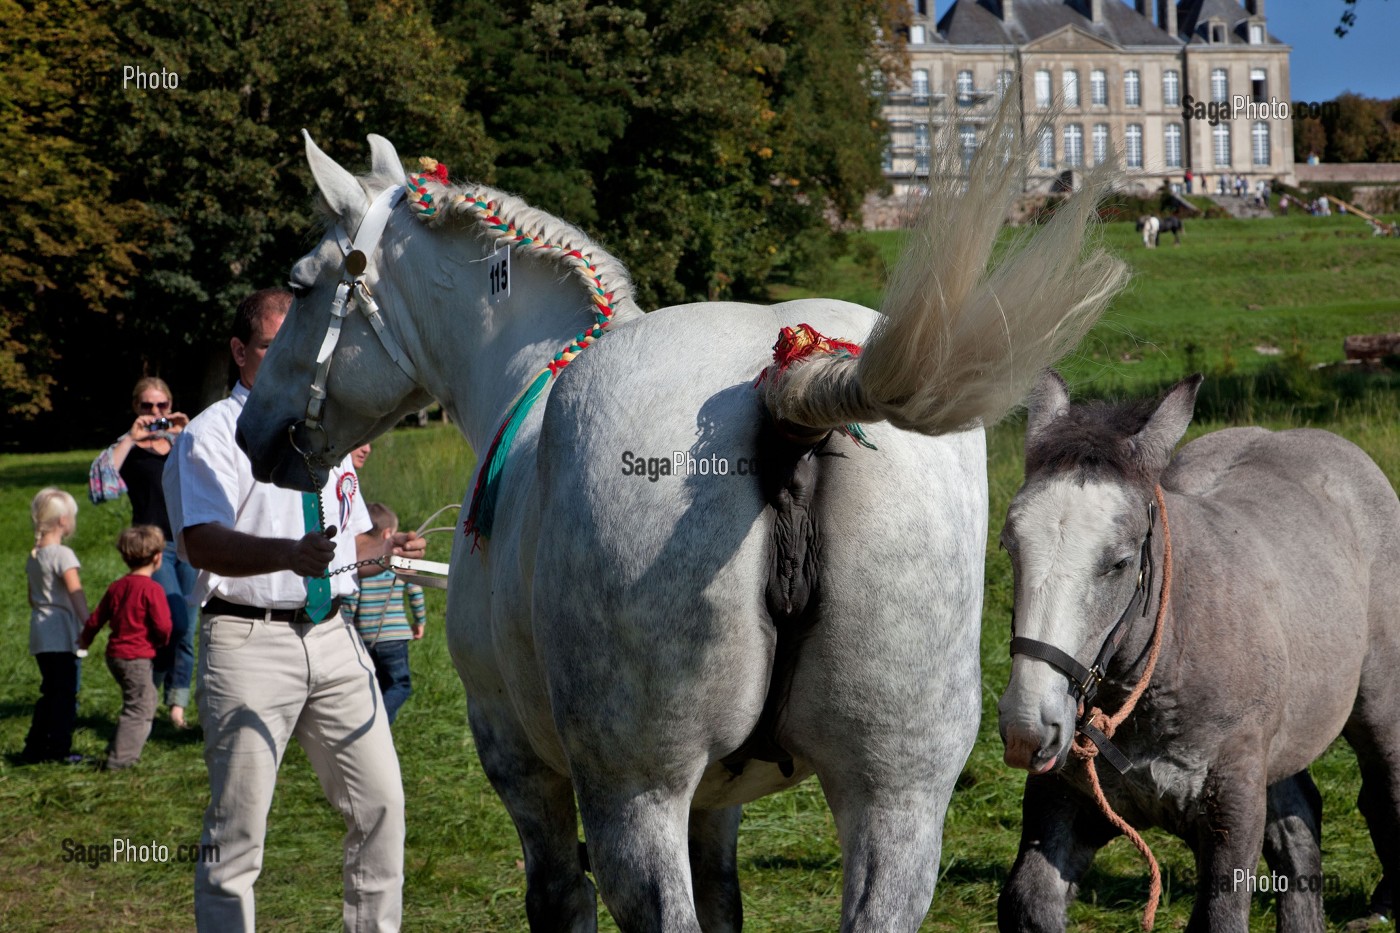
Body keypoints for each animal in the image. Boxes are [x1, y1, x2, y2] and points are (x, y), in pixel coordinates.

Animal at [237, 95, 1128, 930]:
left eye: (302, 283)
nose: (254, 430)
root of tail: (789, 384)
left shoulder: (521, 761)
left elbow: (560, 899)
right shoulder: (717, 798)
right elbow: (725, 898)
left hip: (636, 794)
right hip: (897, 796)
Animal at [995, 372, 1400, 932]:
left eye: (1120, 562)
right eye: (1009, 546)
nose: (1028, 725)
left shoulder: (1233, 808)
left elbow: (1219, 916)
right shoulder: (1066, 799)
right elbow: (1029, 902)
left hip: (1378, 709)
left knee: (1383, 794)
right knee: (1299, 827)